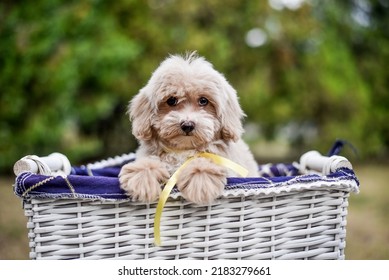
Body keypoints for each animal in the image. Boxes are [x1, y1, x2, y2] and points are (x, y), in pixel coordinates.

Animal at [118, 52, 258, 203]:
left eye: (203, 101)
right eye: (171, 100)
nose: (187, 125)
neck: (183, 150)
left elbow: (203, 162)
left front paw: (200, 180)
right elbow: (148, 162)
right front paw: (142, 177)